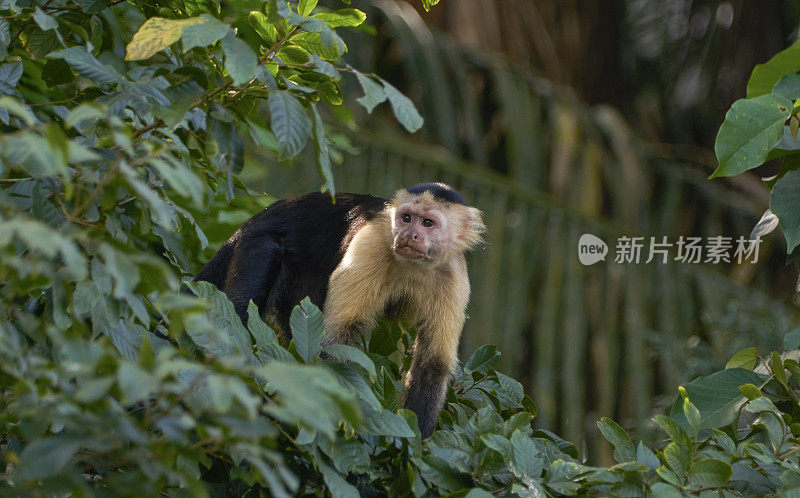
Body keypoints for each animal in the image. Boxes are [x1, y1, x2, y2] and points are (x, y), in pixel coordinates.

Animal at [197, 182, 484, 436]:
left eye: (427, 223)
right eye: (406, 218)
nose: (408, 235)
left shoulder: (454, 277)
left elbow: (432, 365)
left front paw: (413, 448)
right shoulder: (370, 245)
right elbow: (335, 341)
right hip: (257, 242)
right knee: (255, 277)